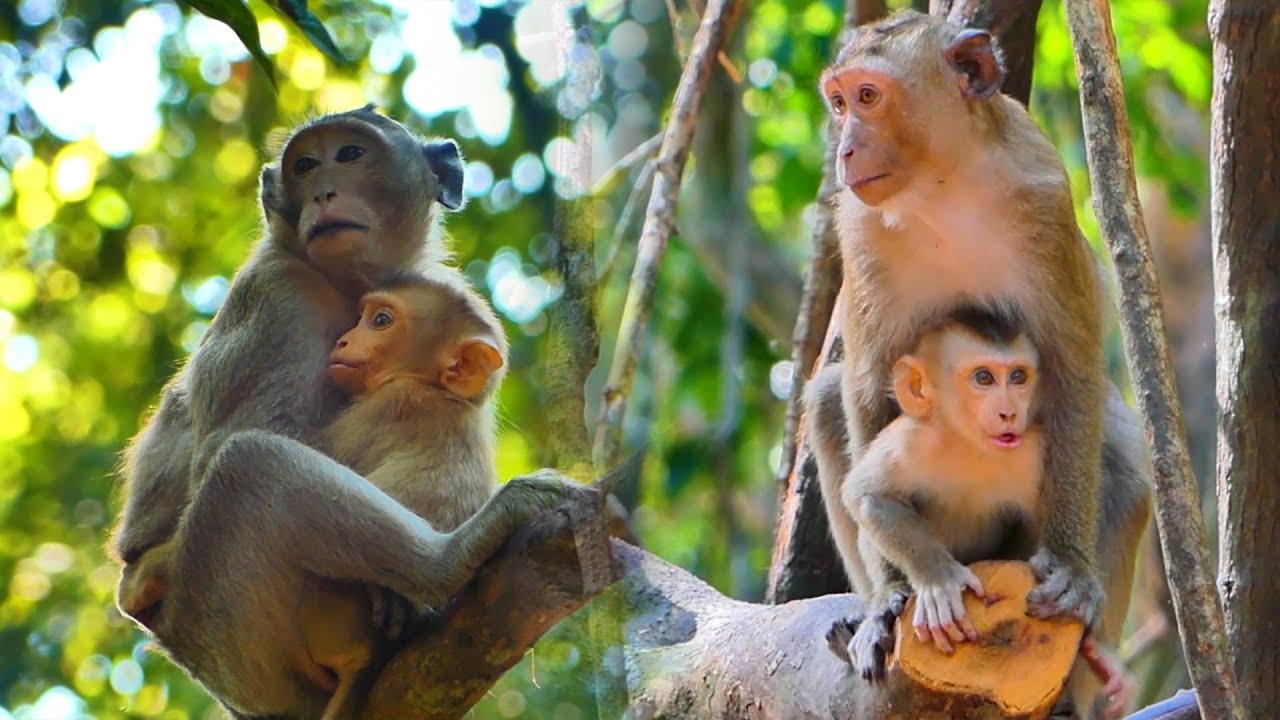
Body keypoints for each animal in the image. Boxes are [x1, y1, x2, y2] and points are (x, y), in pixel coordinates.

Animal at [109, 107, 580, 719]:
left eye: (350, 155)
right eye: (306, 166)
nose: (324, 191)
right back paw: (447, 561)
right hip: (231, 634)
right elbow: (230, 445)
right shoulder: (279, 298)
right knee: (247, 465)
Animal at [803, 11, 1152, 716]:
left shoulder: (1044, 203)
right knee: (827, 403)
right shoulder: (860, 229)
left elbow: (1073, 368)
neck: (944, 186)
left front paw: (1072, 570)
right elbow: (865, 388)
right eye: (839, 102)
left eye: (869, 97)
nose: (845, 151)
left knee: (1124, 470)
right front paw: (890, 597)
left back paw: (1084, 674)